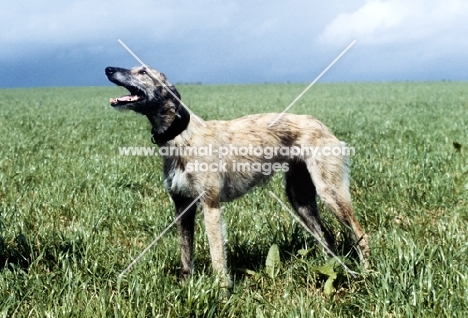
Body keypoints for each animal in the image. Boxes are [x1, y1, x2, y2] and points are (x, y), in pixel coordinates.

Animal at [105, 66, 370, 286]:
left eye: (142, 71)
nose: (108, 68)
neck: (181, 137)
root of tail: (322, 124)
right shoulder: (182, 207)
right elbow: (185, 255)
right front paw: (186, 287)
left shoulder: (210, 205)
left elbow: (217, 256)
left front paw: (223, 293)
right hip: (301, 199)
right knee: (326, 236)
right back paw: (335, 268)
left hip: (330, 193)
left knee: (361, 234)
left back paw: (368, 273)